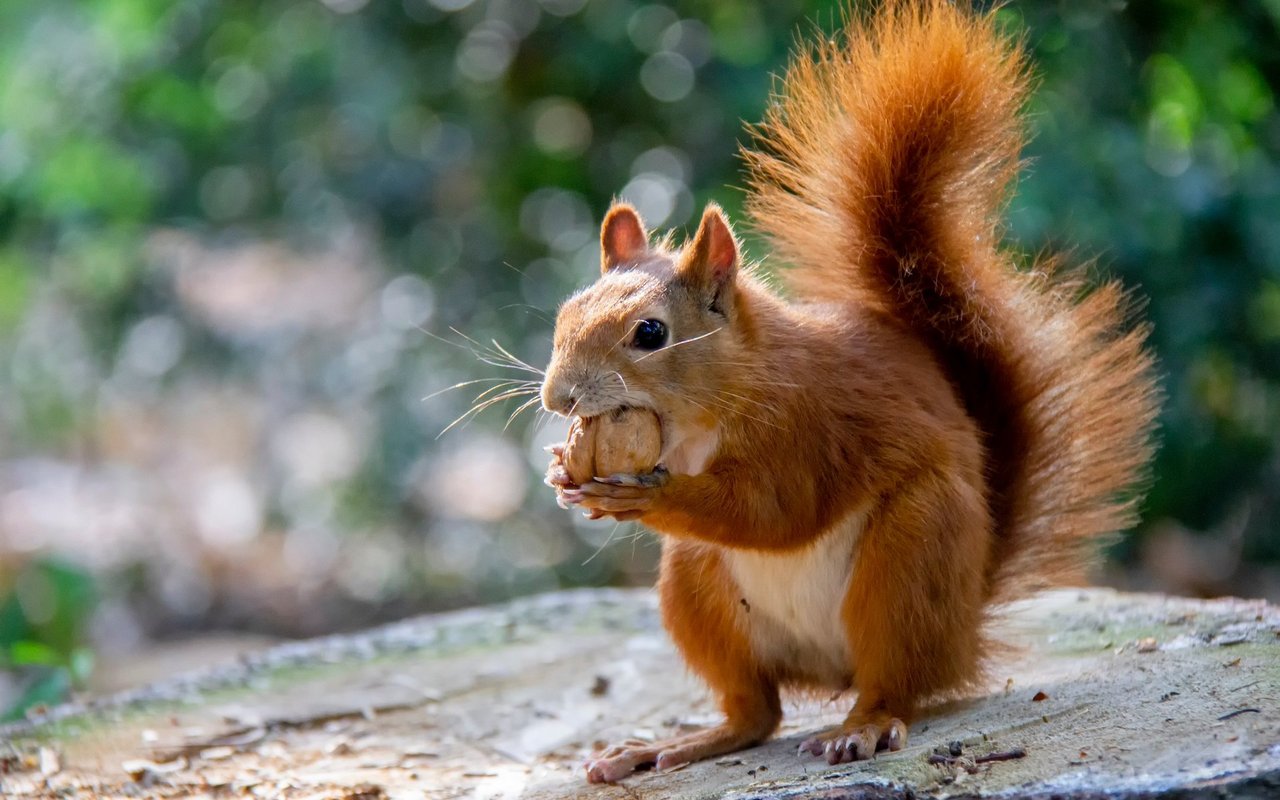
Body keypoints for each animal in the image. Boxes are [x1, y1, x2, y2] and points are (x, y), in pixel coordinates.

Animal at [535, 0, 1157, 783]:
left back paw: (860, 728)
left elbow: (775, 510)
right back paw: (674, 745)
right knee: (755, 712)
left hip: (911, 556)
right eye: (565, 312)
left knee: (892, 682)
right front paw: (563, 473)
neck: (708, 414)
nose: (557, 399)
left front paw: (645, 496)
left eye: (650, 334)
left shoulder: (809, 423)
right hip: (695, 583)